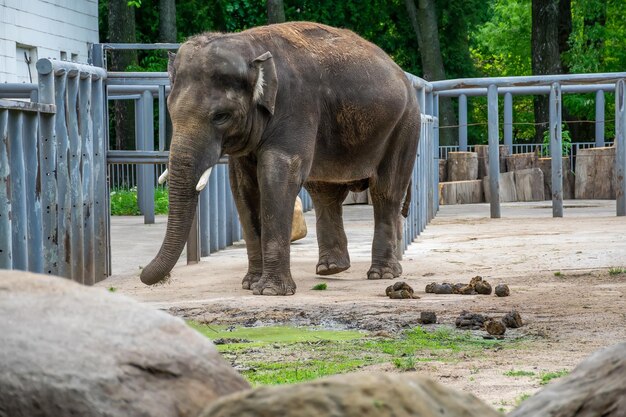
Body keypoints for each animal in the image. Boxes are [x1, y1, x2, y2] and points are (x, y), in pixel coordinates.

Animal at [141, 22, 420, 296]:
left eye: (221, 116)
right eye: (170, 110)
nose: (146, 276)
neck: (249, 45)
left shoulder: (296, 105)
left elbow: (279, 175)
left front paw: (270, 291)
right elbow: (242, 186)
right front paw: (250, 285)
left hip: (404, 125)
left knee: (386, 191)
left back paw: (382, 274)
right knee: (325, 193)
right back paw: (331, 269)